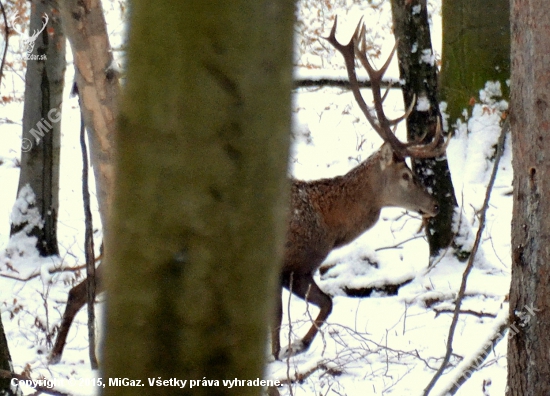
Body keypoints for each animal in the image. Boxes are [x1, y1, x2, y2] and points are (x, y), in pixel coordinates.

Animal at [272, 18, 448, 358]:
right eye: (405, 175)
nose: (434, 204)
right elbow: (304, 310)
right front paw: (289, 349)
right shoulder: (293, 265)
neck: (328, 226)